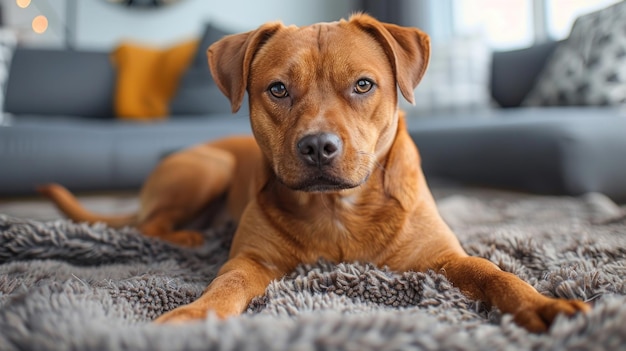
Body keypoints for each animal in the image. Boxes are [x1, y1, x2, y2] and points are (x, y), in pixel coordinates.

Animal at [41, 13, 588, 332]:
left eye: (364, 85)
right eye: (278, 89)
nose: (319, 145)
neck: (338, 211)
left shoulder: (444, 258)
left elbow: (494, 272)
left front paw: (542, 304)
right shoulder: (251, 260)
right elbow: (225, 286)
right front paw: (193, 316)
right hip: (206, 168)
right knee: (150, 224)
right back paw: (189, 237)